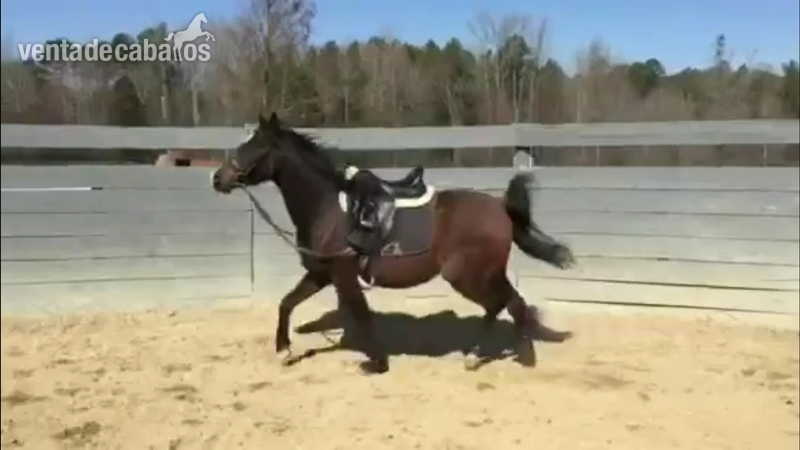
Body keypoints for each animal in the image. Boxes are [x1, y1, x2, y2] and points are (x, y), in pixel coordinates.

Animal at [211, 112, 576, 374]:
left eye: (254, 148)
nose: (218, 178)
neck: (328, 207)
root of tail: (501, 208)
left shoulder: (343, 275)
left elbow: (362, 315)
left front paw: (376, 362)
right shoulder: (320, 273)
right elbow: (286, 303)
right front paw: (284, 350)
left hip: (466, 275)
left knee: (504, 304)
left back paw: (500, 355)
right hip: (484, 274)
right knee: (511, 303)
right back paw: (491, 354)